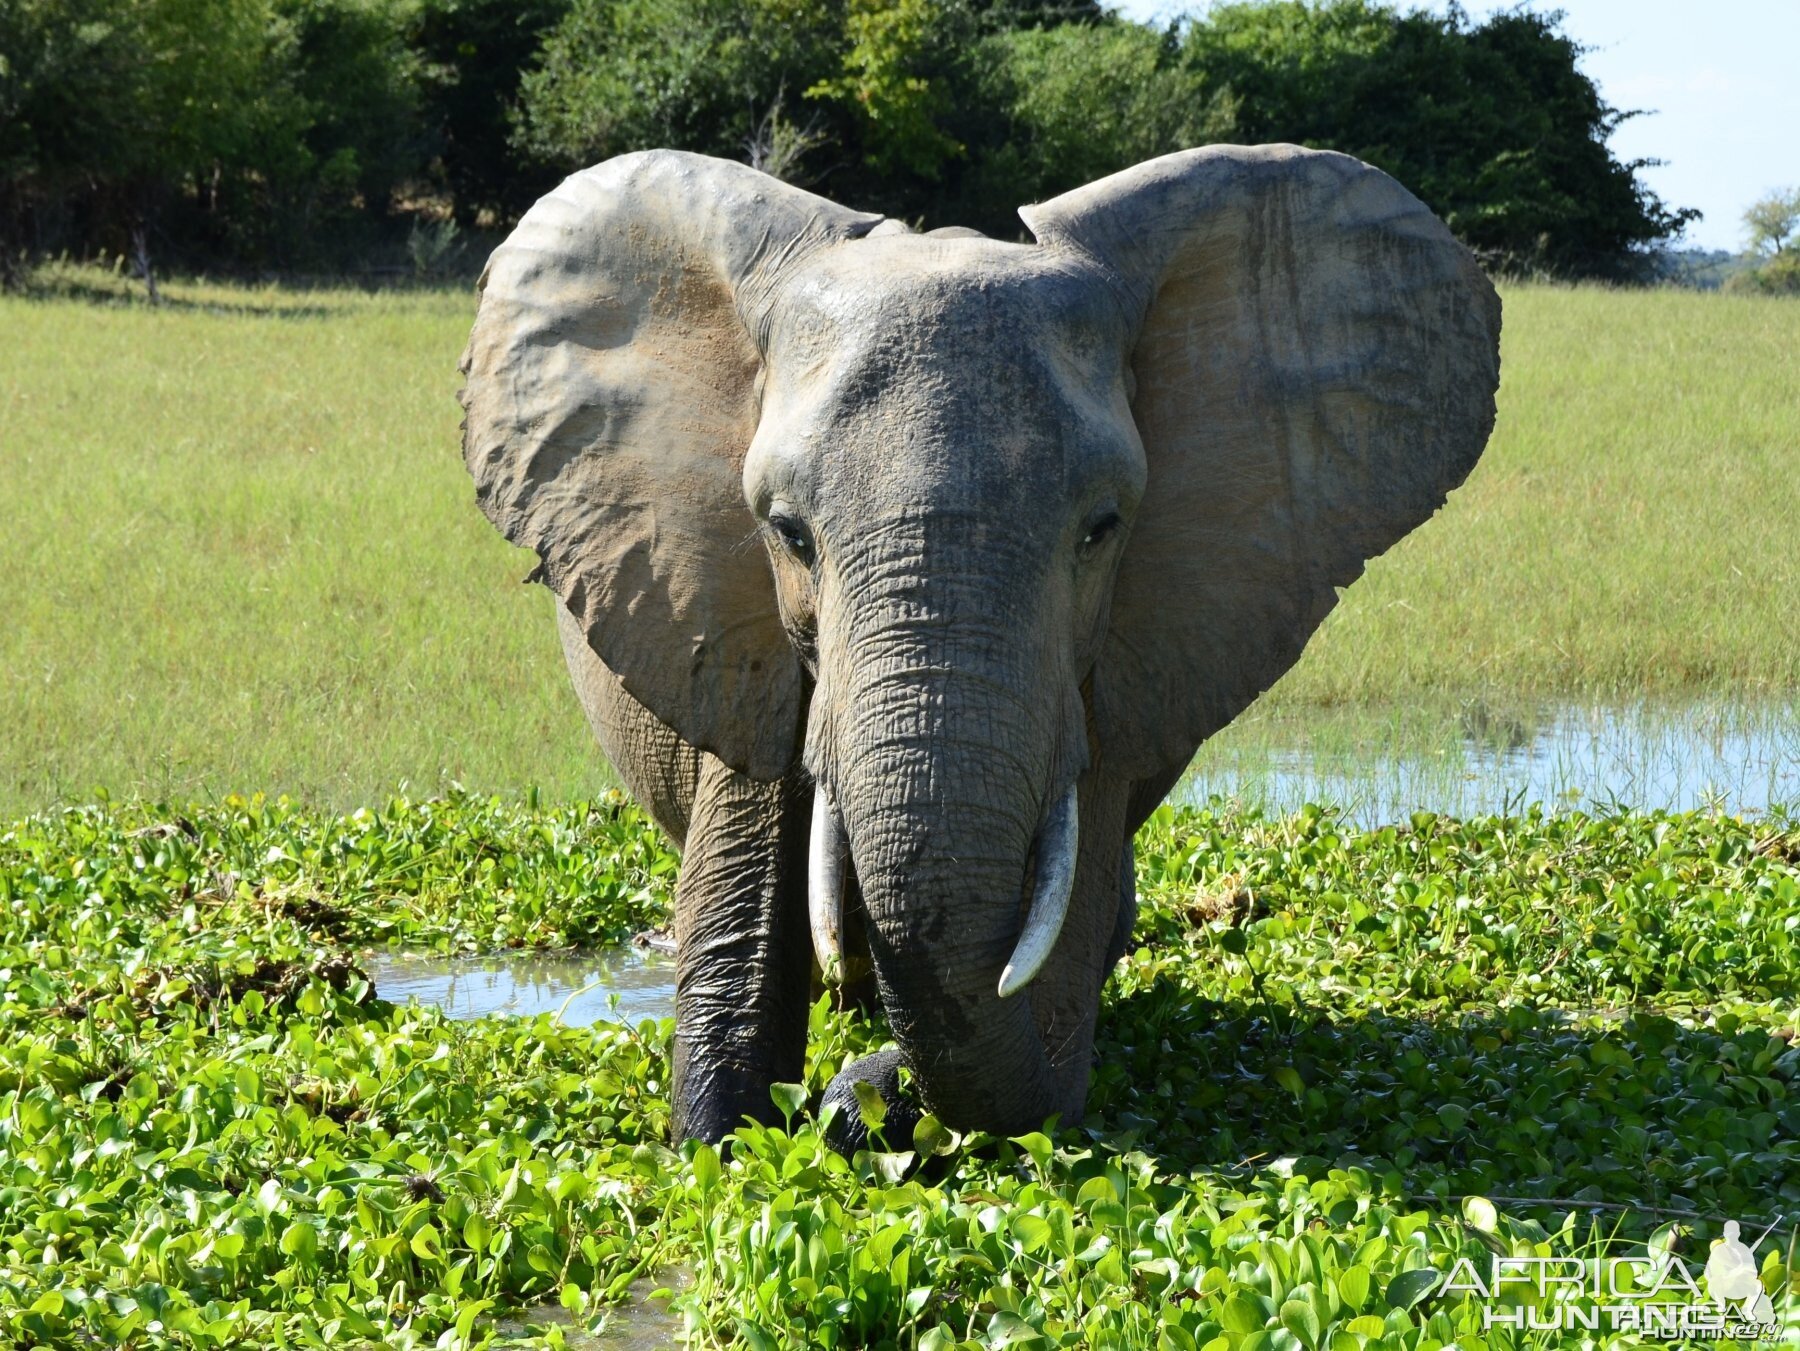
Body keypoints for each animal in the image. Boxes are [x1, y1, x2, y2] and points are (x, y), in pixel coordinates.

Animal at [457, 145, 1497, 1144]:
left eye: (1103, 528)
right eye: (788, 533)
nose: (859, 1097)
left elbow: (1058, 975)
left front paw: (866, 1097)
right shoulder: (731, 620)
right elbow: (738, 934)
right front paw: (729, 1138)